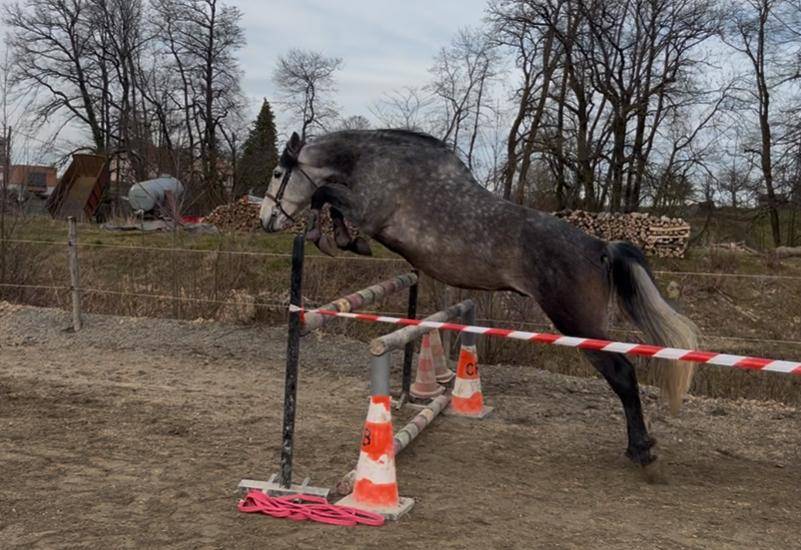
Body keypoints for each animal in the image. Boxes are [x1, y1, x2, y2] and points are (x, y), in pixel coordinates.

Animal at [260, 129, 699, 476]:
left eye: (278, 174)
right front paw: (332, 238)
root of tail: (600, 247)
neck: (379, 164)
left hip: (577, 322)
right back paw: (639, 447)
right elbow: (326, 197)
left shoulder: (369, 212)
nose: (265, 221)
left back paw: (642, 450)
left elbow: (324, 194)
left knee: (622, 373)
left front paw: (335, 239)